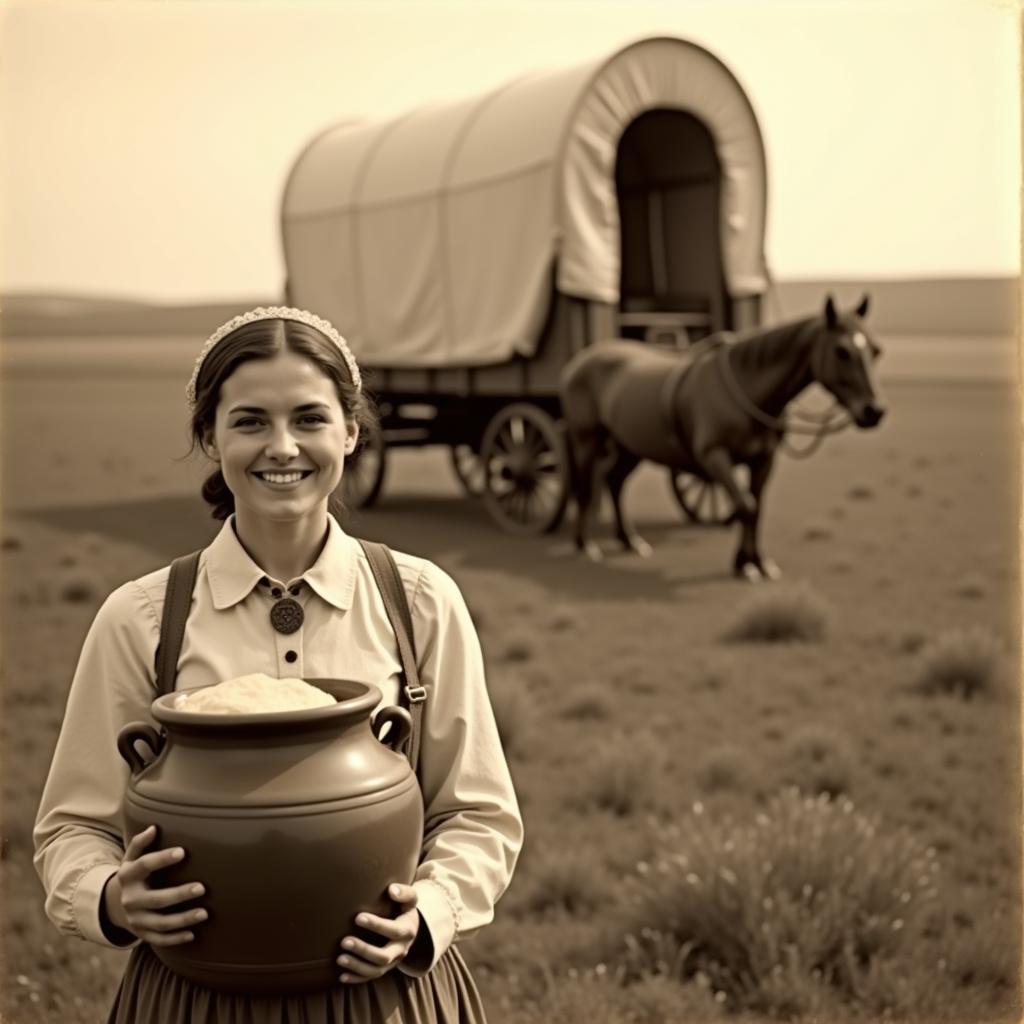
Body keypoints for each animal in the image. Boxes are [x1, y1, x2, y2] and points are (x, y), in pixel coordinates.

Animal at [557, 294, 884, 577]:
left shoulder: (763, 460)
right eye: (842, 351)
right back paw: (585, 545)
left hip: (631, 446)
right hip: (586, 440)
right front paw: (745, 563)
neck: (748, 388)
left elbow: (755, 508)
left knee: (614, 482)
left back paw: (629, 540)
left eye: (875, 350)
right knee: (585, 489)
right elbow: (745, 506)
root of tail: (580, 360)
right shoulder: (714, 456)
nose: (874, 411)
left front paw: (757, 562)